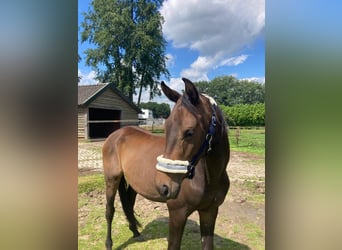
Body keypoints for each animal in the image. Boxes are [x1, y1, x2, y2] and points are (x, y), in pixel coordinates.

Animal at [102, 78, 230, 250]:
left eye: (189, 132)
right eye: (166, 127)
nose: (164, 187)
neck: (210, 178)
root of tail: (115, 135)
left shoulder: (210, 212)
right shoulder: (177, 213)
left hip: (133, 184)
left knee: (129, 205)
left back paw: (135, 232)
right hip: (112, 180)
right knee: (110, 210)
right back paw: (109, 243)